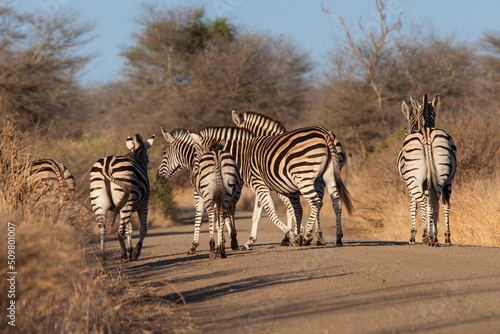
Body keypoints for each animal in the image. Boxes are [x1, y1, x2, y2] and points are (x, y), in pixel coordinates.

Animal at [156, 128, 242, 258]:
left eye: (164, 153)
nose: (157, 178)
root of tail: (216, 153)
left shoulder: (198, 194)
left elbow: (198, 218)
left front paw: (194, 246)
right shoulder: (217, 196)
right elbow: (219, 220)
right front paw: (222, 243)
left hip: (208, 193)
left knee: (212, 215)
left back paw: (212, 248)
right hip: (228, 191)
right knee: (227, 212)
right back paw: (225, 247)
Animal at [193, 124, 354, 249]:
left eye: (201, 157)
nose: (196, 179)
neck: (242, 156)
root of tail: (326, 133)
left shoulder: (260, 185)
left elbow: (271, 213)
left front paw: (294, 237)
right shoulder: (260, 187)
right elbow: (256, 214)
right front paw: (250, 242)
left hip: (304, 177)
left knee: (316, 202)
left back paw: (308, 234)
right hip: (329, 175)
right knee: (336, 202)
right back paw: (338, 238)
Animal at [398, 95, 458, 247]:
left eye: (405, 127)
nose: (406, 131)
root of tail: (426, 133)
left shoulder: (410, 185)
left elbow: (414, 207)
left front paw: (414, 236)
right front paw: (429, 232)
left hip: (413, 179)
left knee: (425, 202)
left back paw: (429, 237)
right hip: (446, 178)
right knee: (443, 203)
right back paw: (443, 237)